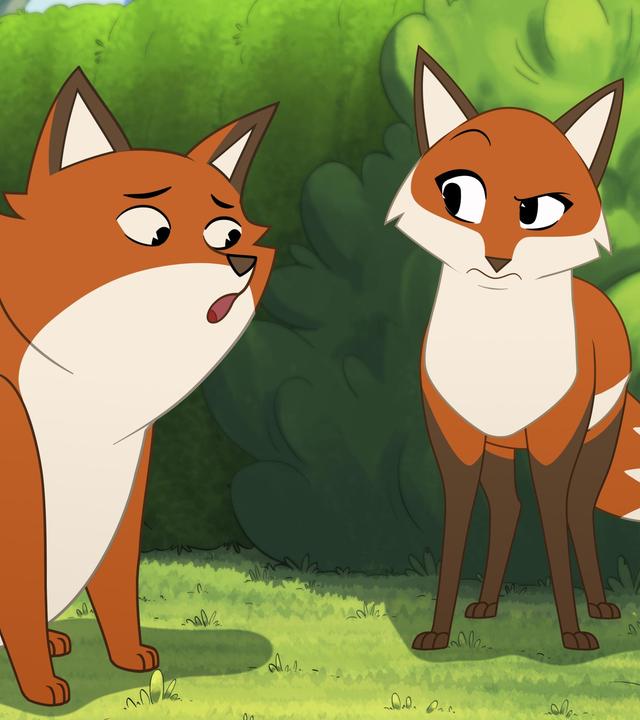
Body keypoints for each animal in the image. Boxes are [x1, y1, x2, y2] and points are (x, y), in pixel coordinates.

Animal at [0, 69, 276, 705]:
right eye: (151, 230)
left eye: (229, 232)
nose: (240, 259)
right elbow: (22, 598)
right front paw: (40, 688)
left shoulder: (126, 489)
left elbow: (117, 588)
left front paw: (129, 659)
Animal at [386, 47, 639, 652]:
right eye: (457, 196)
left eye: (539, 211)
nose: (497, 258)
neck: (498, 352)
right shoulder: (454, 441)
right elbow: (456, 537)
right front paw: (439, 632)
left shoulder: (553, 444)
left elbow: (552, 528)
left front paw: (572, 635)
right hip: (501, 451)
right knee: (507, 508)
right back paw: (486, 606)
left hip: (595, 440)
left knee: (574, 514)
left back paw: (599, 608)